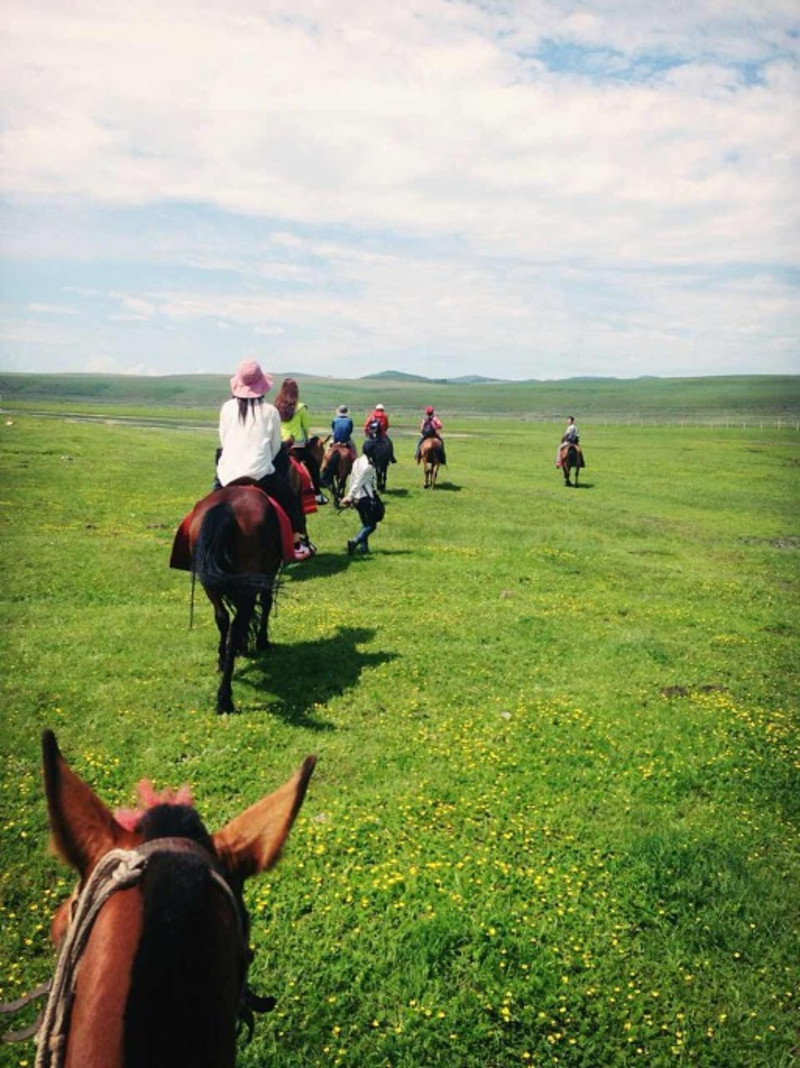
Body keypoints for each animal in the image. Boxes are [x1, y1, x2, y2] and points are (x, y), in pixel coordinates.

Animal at [168, 489, 286, 713]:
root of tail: (225, 507)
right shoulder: (269, 570)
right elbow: (266, 604)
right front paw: (261, 641)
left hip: (210, 584)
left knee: (222, 619)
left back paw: (222, 663)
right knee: (236, 627)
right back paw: (225, 698)